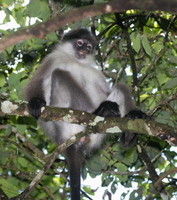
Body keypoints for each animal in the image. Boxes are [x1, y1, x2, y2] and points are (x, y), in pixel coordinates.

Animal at [23, 28, 148, 200]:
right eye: (80, 43)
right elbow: (35, 85)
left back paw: (128, 132)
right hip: (66, 124)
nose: (84, 50)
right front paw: (35, 102)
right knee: (59, 74)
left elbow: (107, 91)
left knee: (120, 88)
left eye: (88, 47)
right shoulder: (52, 59)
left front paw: (135, 114)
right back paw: (99, 111)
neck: (76, 61)